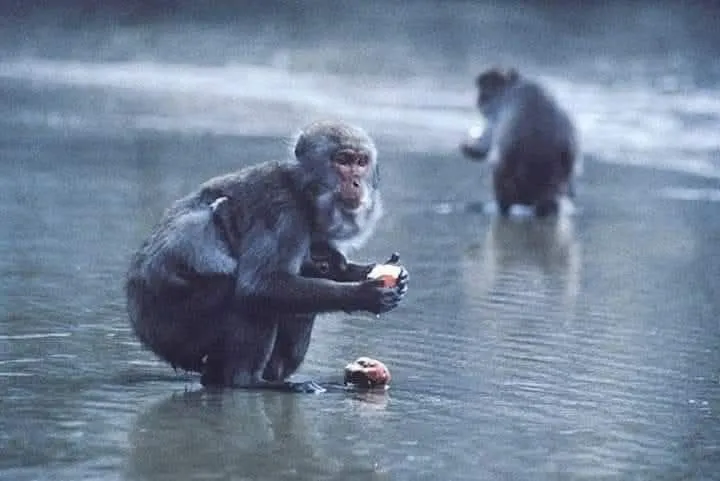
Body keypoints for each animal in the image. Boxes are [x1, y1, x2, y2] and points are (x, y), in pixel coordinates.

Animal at [125, 120, 408, 392]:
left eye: (361, 162)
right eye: (343, 160)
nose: (356, 183)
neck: (303, 193)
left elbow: (318, 265)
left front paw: (365, 271)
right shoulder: (283, 213)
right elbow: (259, 286)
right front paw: (363, 294)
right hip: (178, 331)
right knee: (243, 297)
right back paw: (248, 380)